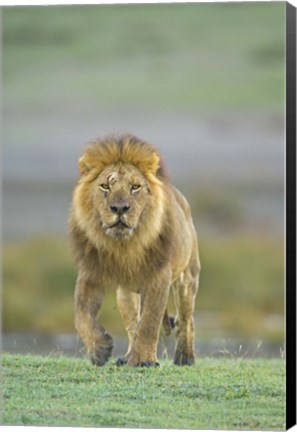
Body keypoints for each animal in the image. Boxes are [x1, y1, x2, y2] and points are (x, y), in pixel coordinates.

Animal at [68, 133, 200, 366]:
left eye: (135, 187)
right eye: (105, 186)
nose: (120, 208)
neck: (125, 245)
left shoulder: (159, 276)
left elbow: (150, 321)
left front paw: (144, 361)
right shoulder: (90, 272)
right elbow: (81, 314)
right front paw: (99, 349)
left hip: (187, 278)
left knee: (186, 319)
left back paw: (185, 357)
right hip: (125, 294)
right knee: (132, 325)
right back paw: (127, 357)